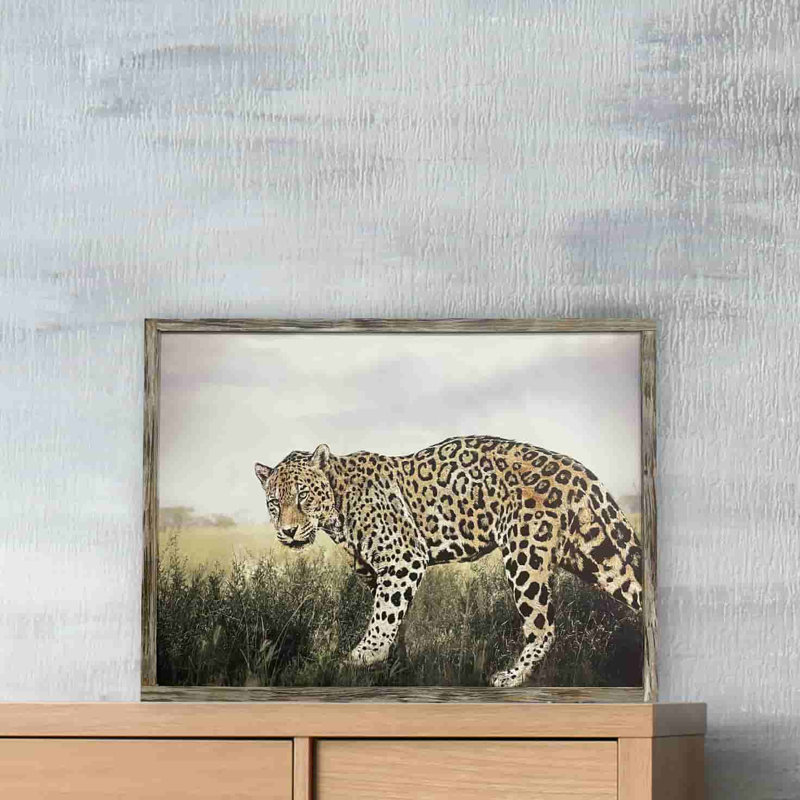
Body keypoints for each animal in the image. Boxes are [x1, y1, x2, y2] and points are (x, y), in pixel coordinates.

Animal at [254, 435, 642, 687]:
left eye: (303, 496)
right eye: (273, 503)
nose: (288, 531)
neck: (338, 505)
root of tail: (580, 472)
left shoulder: (403, 560)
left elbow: (382, 617)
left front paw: (363, 656)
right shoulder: (377, 574)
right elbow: (392, 618)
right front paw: (394, 663)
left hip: (526, 557)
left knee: (542, 626)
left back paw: (512, 677)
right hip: (599, 557)